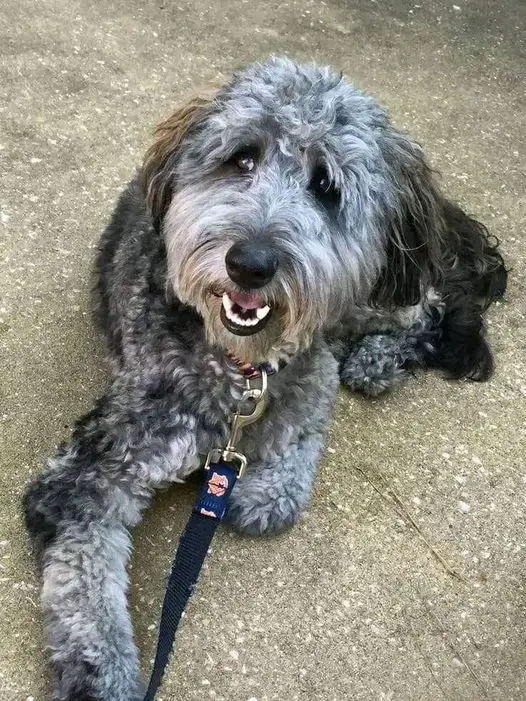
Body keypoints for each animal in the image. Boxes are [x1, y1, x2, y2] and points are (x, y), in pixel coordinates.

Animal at [23, 56, 508, 700]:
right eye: (242, 159)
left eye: (326, 186)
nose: (250, 262)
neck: (240, 366)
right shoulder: (88, 476)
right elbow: (85, 595)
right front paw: (103, 679)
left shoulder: (310, 373)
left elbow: (294, 455)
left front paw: (266, 490)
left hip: (370, 289)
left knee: (430, 307)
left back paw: (378, 358)